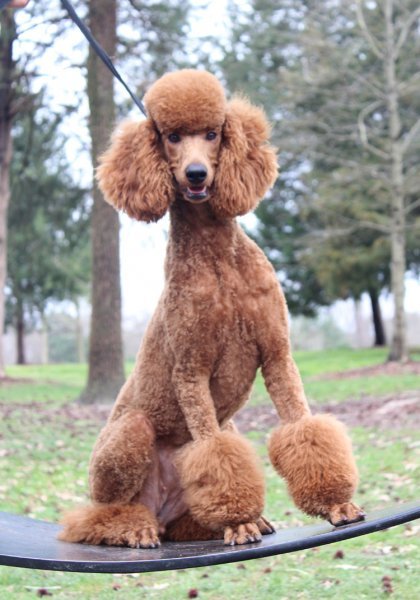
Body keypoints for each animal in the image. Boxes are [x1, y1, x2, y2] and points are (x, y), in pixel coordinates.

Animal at [59, 70, 364, 548]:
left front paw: (336, 503)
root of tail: (163, 512)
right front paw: (237, 521)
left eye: (212, 133)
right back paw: (134, 528)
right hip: (129, 435)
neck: (220, 262)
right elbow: (215, 454)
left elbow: (303, 428)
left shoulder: (277, 355)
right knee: (95, 516)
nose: (197, 173)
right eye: (171, 136)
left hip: (219, 439)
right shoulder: (191, 371)